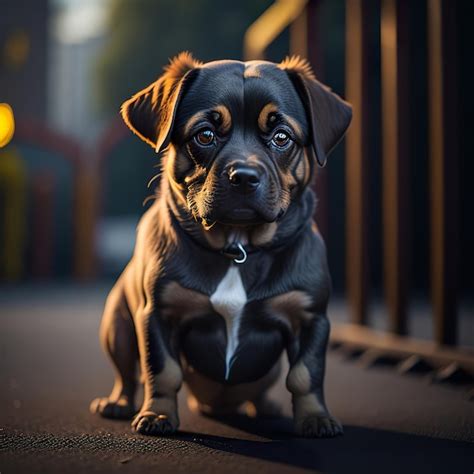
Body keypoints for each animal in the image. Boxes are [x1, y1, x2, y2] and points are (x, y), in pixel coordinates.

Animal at [91, 51, 352, 436]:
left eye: (282, 137)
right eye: (205, 135)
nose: (243, 176)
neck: (237, 246)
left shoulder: (311, 318)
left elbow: (306, 375)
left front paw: (315, 418)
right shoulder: (158, 314)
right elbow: (162, 371)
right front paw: (158, 415)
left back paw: (266, 408)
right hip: (117, 326)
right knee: (127, 374)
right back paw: (119, 403)